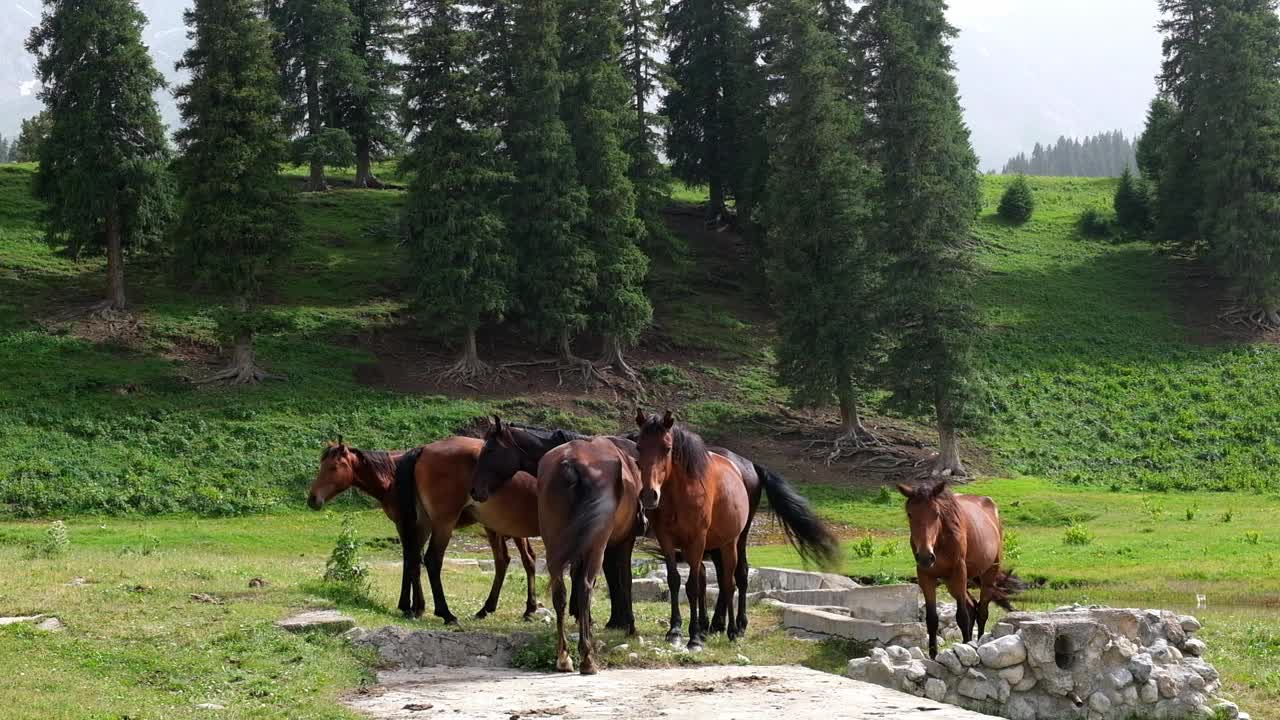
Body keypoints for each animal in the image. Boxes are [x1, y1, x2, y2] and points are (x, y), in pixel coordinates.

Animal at [309, 435, 540, 625]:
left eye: (333, 467)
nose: (312, 499)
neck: (393, 474)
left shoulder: (409, 524)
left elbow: (412, 561)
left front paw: (411, 607)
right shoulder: (416, 525)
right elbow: (413, 560)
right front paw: (415, 607)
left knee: (521, 559)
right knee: (508, 560)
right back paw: (500, 609)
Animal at [535, 435, 645, 676]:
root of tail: (570, 464)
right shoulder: (624, 543)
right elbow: (625, 581)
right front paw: (631, 626)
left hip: (554, 543)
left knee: (560, 591)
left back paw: (563, 656)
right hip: (597, 545)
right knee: (585, 587)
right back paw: (587, 658)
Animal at [632, 409, 747, 645]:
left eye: (667, 448)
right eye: (639, 447)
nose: (649, 495)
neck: (680, 494)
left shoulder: (696, 540)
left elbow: (692, 586)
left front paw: (693, 636)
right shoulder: (667, 540)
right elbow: (674, 580)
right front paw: (675, 629)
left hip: (730, 544)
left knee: (729, 583)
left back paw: (732, 629)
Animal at [901, 481, 1029, 655]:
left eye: (936, 513)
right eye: (910, 514)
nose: (926, 556)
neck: (941, 540)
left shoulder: (959, 571)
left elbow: (962, 616)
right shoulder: (925, 575)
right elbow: (932, 619)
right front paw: (933, 655)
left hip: (986, 575)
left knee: (981, 612)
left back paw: (978, 642)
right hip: (952, 581)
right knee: (972, 607)